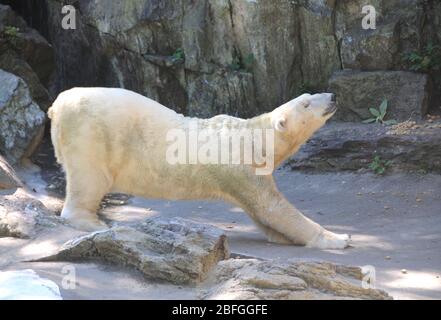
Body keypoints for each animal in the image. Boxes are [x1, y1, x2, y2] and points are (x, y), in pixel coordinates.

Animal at [48, 88, 348, 250]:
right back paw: (93, 221)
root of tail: (58, 104)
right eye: (306, 104)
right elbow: (273, 208)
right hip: (92, 134)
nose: (332, 96)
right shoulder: (239, 167)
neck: (254, 137)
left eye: (310, 95)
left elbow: (264, 215)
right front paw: (339, 237)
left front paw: (283, 238)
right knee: (90, 178)